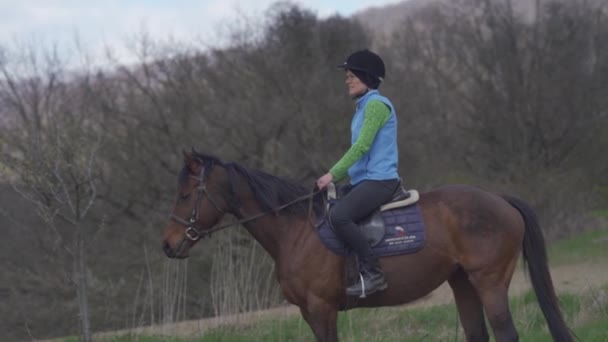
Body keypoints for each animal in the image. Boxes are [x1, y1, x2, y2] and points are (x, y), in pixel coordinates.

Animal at [162, 152, 576, 342]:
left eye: (185, 195)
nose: (168, 246)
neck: (296, 230)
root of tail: (500, 200)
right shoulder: (310, 313)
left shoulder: (322, 309)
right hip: (462, 283)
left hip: (489, 281)